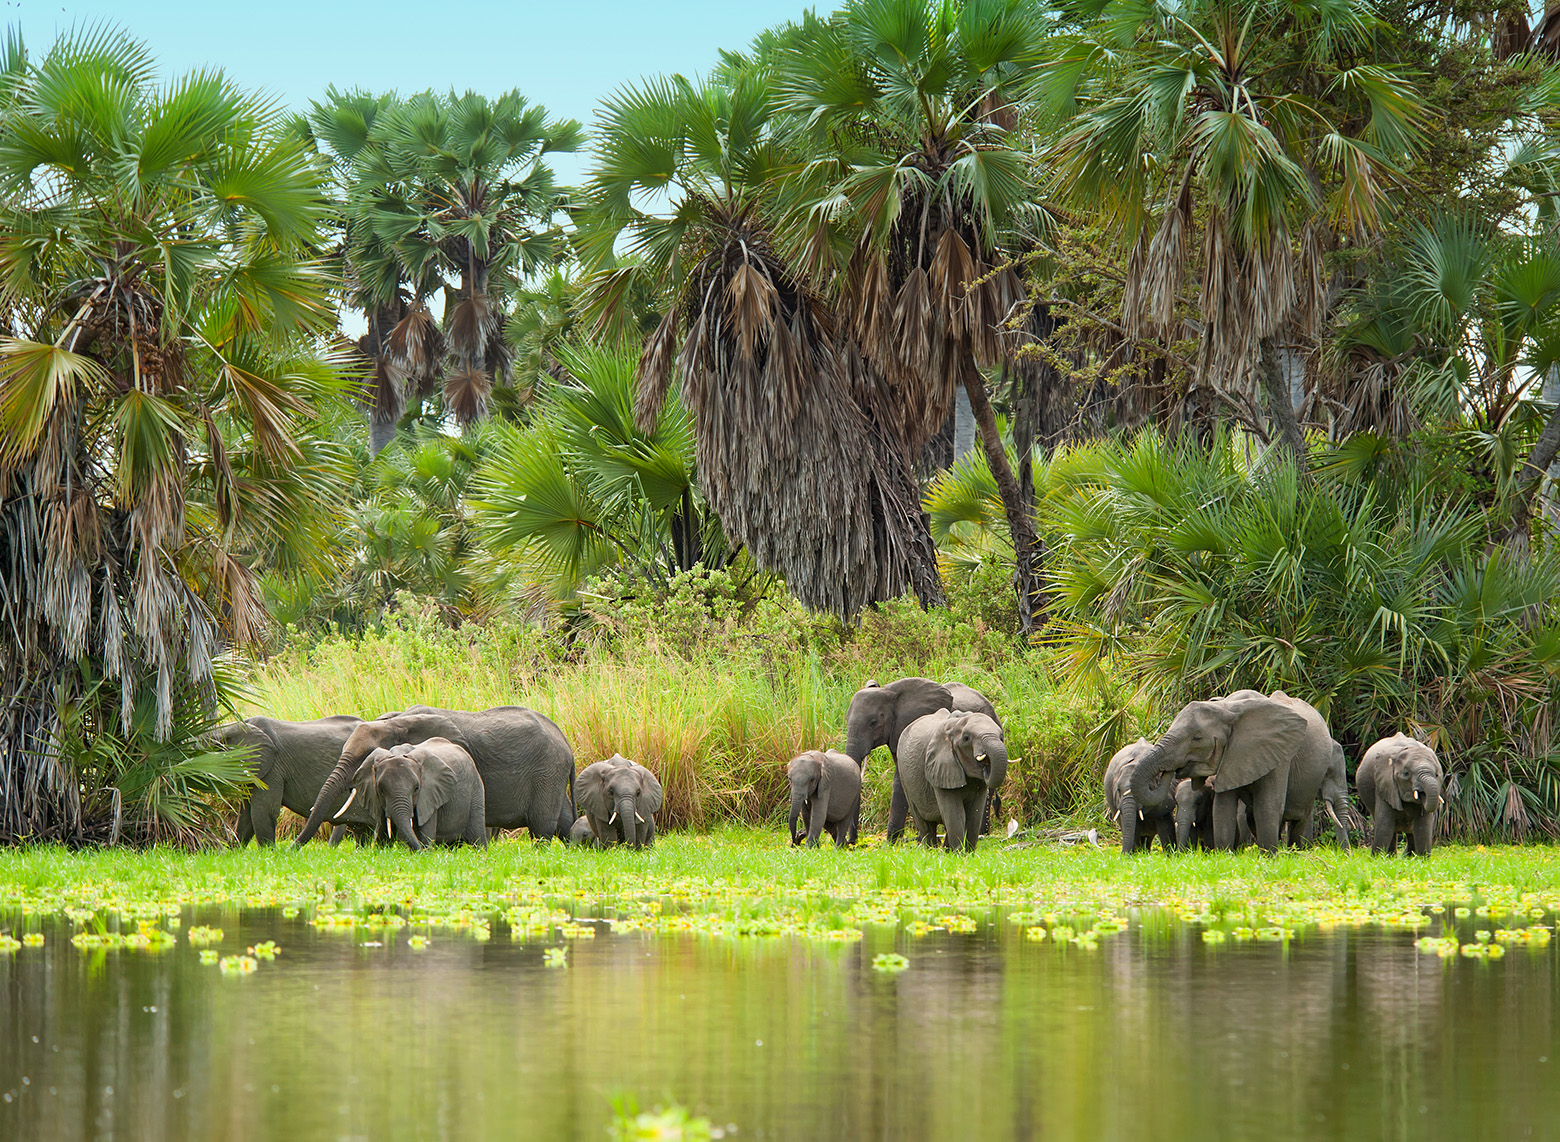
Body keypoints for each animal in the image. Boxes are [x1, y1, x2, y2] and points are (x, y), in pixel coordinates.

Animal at [340, 738, 486, 850]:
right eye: (380, 790)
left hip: (476, 790)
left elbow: (424, 835)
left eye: (416, 788)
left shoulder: (429, 796)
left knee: (477, 839)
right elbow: (382, 833)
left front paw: (424, 852)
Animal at [843, 677, 1002, 843]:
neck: (889, 692)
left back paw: (982, 834)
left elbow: (900, 780)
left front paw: (892, 842)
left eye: (873, 722)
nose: (851, 842)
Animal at [893, 710, 1009, 851]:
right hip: (904, 776)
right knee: (925, 824)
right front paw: (959, 853)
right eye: (966, 738)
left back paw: (944, 850)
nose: (986, 764)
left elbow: (974, 814)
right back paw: (931, 850)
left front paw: (968, 852)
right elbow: (955, 814)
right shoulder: (940, 769)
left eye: (1001, 736)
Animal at [1128, 689, 1340, 852]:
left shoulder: (1278, 752)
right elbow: (1223, 809)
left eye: (1196, 738)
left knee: (1299, 819)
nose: (1170, 771)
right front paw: (1225, 857)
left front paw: (1269, 858)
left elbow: (1268, 806)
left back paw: (1294, 853)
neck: (1228, 708)